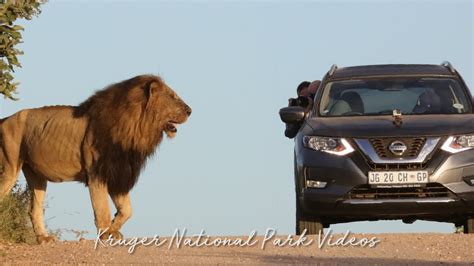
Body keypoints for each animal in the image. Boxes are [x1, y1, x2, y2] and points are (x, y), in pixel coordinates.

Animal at [0, 75, 193, 243]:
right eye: (173, 96)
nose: (190, 111)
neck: (136, 127)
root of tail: (4, 119)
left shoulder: (118, 173)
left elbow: (127, 210)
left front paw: (114, 229)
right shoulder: (97, 173)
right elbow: (102, 209)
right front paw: (106, 233)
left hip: (36, 176)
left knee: (35, 208)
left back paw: (43, 238)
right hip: (10, 167)